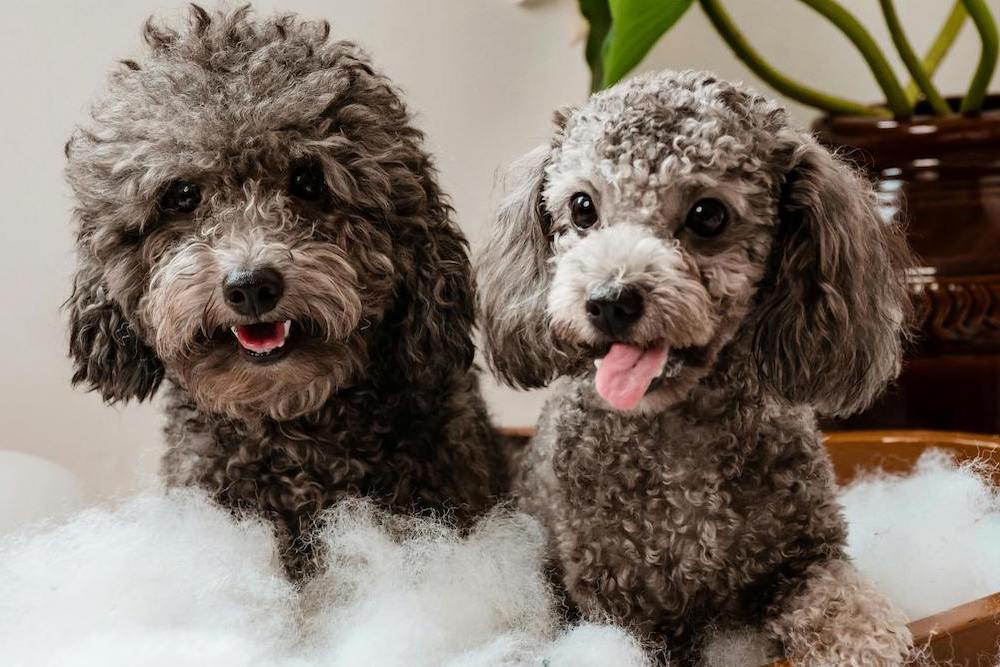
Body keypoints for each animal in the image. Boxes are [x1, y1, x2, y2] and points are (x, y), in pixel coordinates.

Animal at [480, 69, 916, 667]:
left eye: (708, 215)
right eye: (583, 208)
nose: (609, 300)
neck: (678, 440)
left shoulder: (808, 552)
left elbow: (837, 592)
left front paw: (865, 640)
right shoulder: (614, 600)